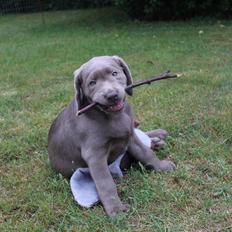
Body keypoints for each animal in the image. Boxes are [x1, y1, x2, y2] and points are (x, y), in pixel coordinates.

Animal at [49, 55, 176, 217]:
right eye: (92, 83)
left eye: (115, 73)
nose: (111, 95)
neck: (113, 117)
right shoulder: (95, 155)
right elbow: (106, 183)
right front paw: (116, 210)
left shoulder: (130, 135)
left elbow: (146, 153)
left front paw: (161, 166)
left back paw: (158, 136)